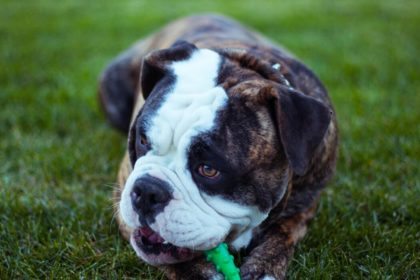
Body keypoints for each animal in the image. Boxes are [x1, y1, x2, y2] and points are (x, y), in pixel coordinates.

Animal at [98, 14, 338, 278]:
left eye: (208, 169)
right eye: (142, 140)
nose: (147, 190)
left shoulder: (306, 205)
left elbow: (285, 232)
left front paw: (264, 266)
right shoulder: (121, 193)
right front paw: (200, 272)